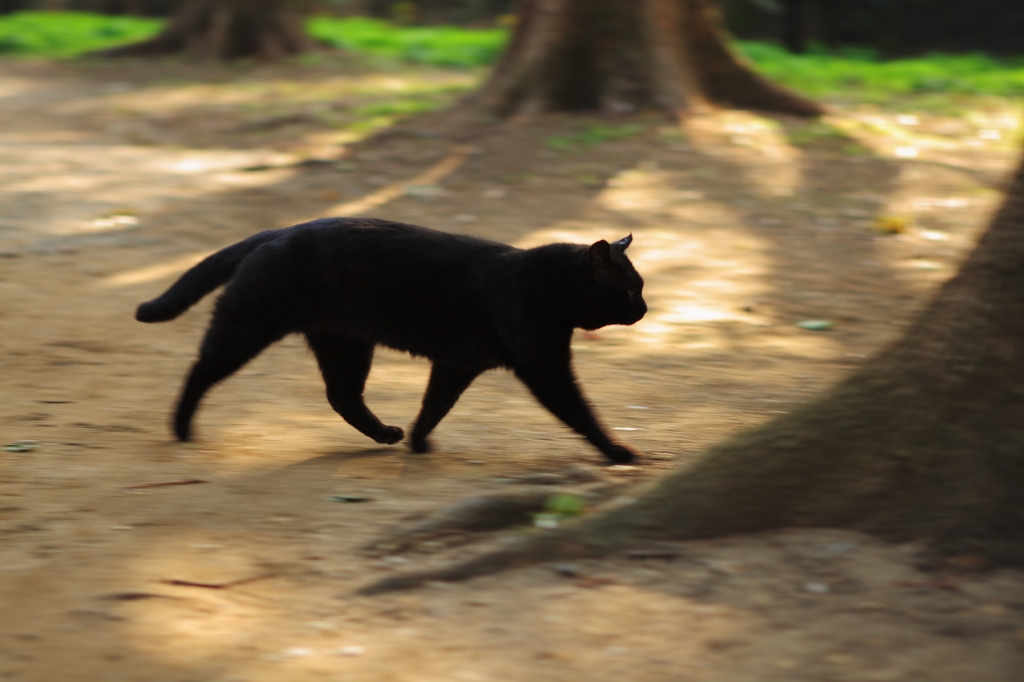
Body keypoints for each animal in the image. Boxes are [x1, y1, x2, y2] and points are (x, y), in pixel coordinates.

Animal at [136, 218, 647, 462]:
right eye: (629, 289)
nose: (644, 309)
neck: (549, 285)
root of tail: (280, 229)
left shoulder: (457, 363)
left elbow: (434, 404)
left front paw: (418, 442)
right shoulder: (543, 365)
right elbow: (582, 413)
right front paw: (619, 453)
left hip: (344, 344)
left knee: (341, 396)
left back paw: (387, 434)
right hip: (248, 326)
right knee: (200, 369)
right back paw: (181, 428)